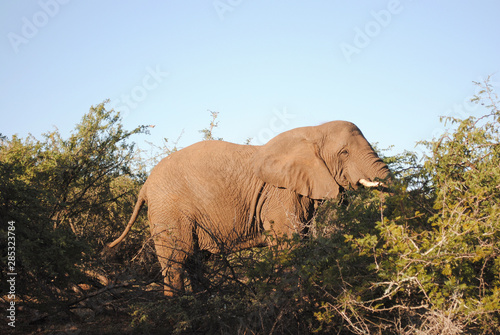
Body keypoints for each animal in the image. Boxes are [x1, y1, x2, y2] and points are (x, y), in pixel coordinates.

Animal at [108, 121, 390, 296]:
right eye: (344, 153)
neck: (312, 131)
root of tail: (144, 185)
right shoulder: (280, 194)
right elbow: (288, 246)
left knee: (196, 261)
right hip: (170, 209)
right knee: (176, 261)